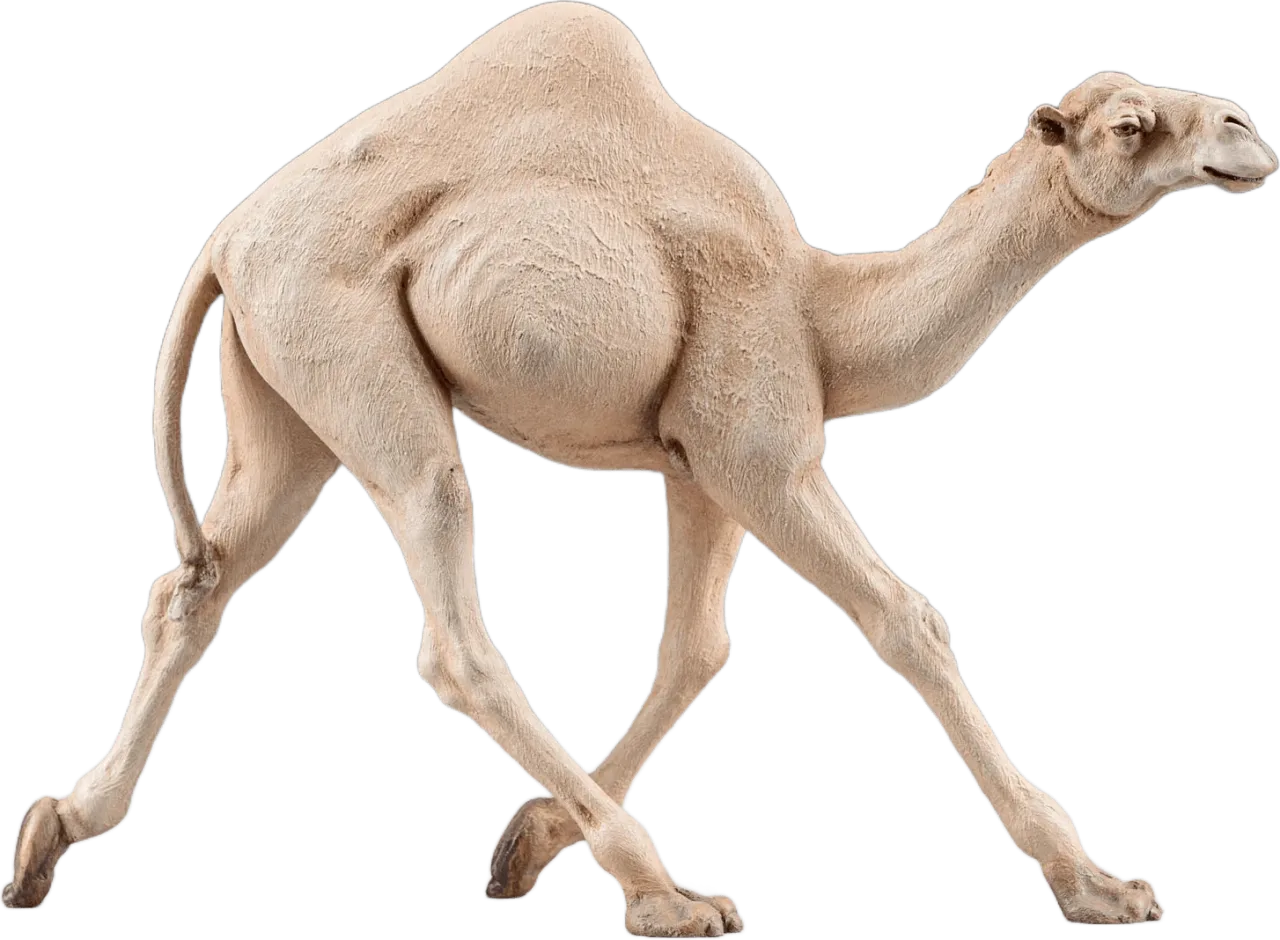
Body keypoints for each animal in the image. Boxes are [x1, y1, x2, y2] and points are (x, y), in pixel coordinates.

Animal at [4, 0, 1276, 933]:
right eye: (1126, 125)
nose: (1239, 123)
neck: (820, 312)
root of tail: (224, 241)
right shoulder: (759, 446)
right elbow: (904, 618)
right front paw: (1097, 886)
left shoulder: (695, 464)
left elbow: (696, 646)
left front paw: (530, 837)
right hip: (347, 341)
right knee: (445, 602)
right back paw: (664, 891)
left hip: (282, 394)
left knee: (198, 582)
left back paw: (50, 835)